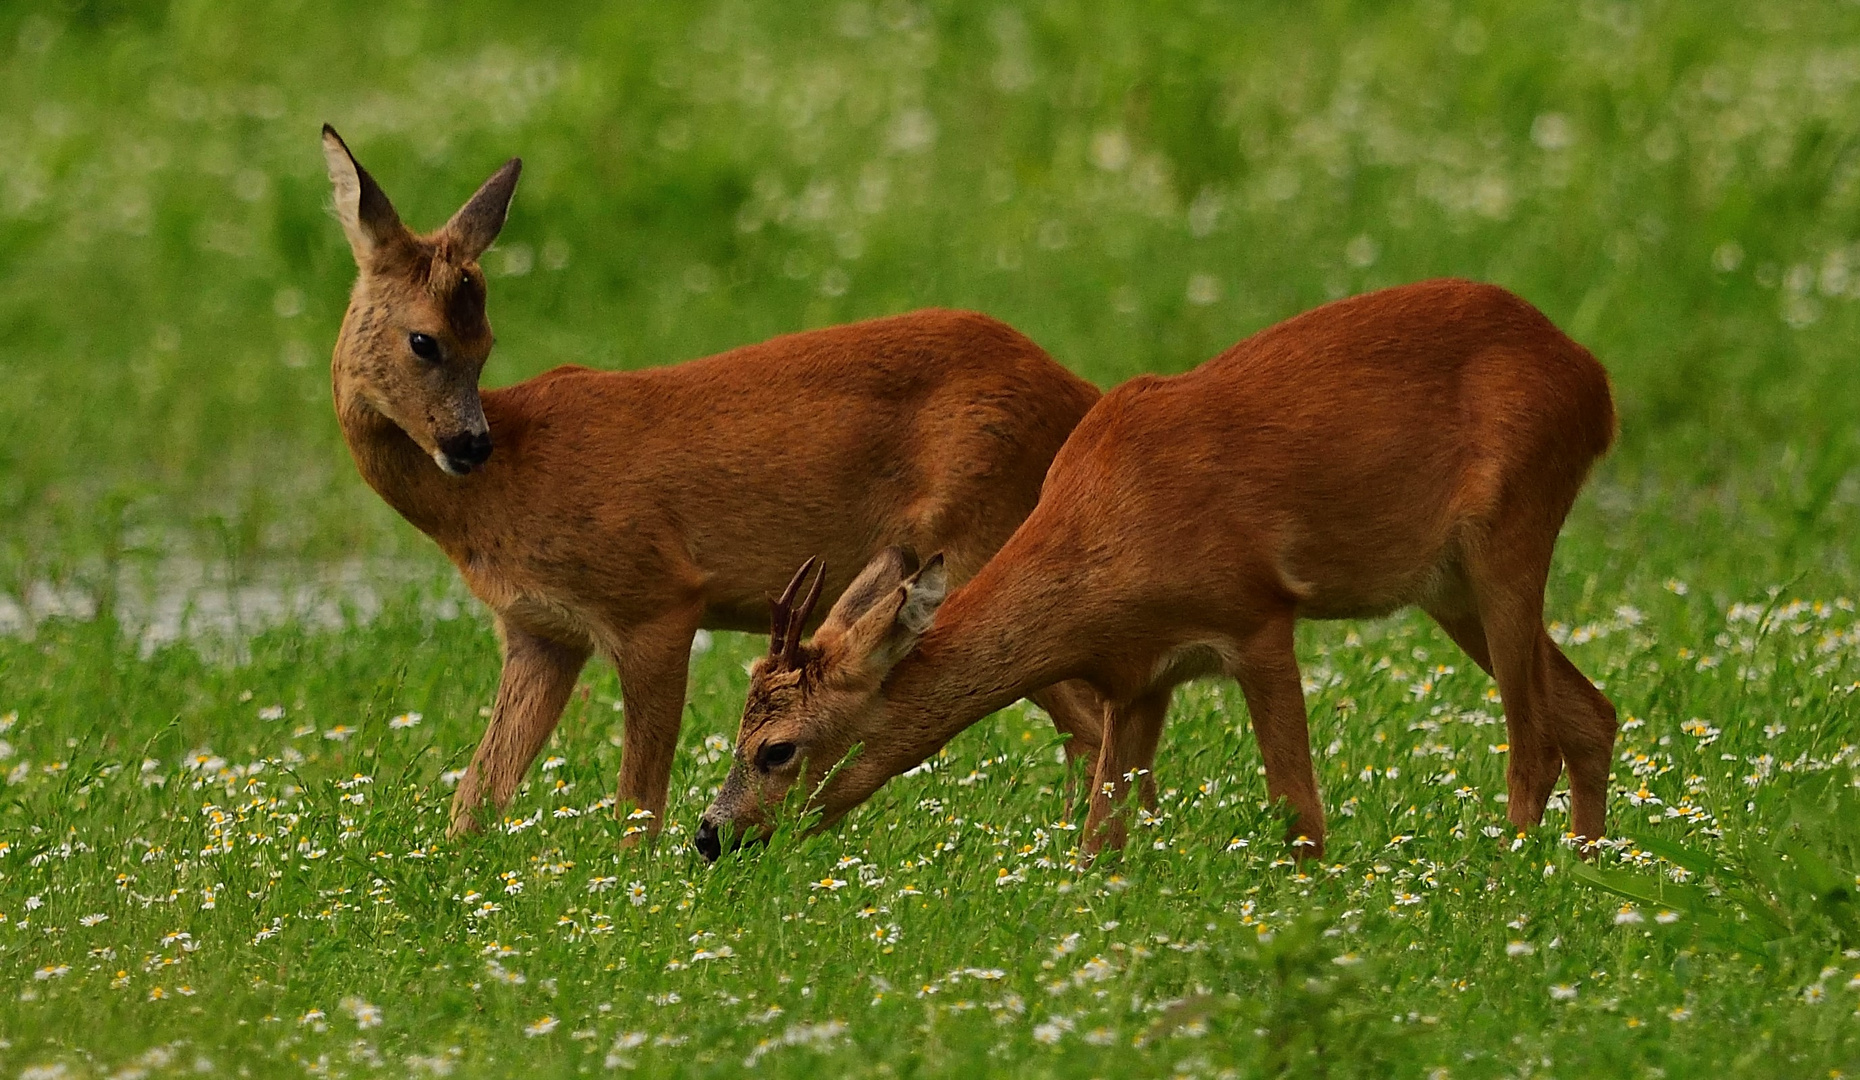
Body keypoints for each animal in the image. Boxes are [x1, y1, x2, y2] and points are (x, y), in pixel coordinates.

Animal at [318, 128, 1101, 843]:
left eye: (484, 344)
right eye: (427, 341)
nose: (469, 444)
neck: (500, 492)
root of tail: (1078, 390)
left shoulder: (657, 596)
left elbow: (637, 801)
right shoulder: (540, 631)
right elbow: (477, 795)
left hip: (985, 538)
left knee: (1087, 721)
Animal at [699, 278, 1614, 858]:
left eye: (775, 749)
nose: (711, 836)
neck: (1103, 551)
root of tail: (1593, 379)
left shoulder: (1256, 615)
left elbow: (1299, 815)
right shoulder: (1136, 678)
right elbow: (1099, 843)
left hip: (1512, 532)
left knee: (1533, 741)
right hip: (1449, 588)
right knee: (1590, 713)